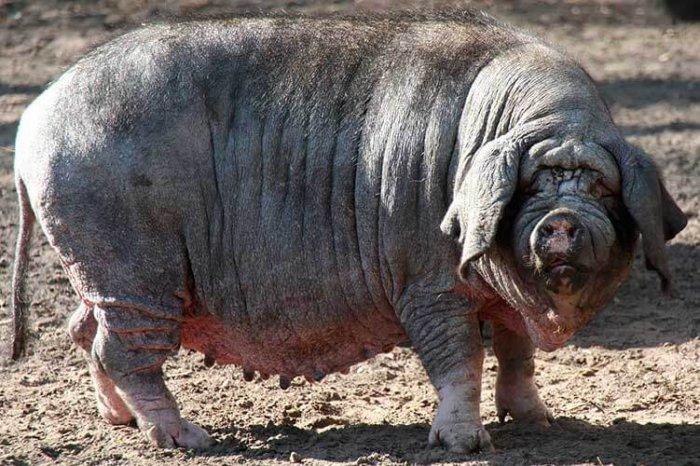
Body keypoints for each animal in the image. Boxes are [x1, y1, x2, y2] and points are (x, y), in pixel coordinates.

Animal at [9, 11, 686, 453]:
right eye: (534, 186)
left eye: (601, 188)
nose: (561, 221)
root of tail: (33, 119)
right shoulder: (425, 278)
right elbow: (459, 355)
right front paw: (465, 444)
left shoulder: (499, 292)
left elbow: (516, 350)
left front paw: (538, 425)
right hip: (133, 268)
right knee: (120, 349)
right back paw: (187, 439)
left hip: (103, 272)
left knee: (82, 329)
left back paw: (121, 424)